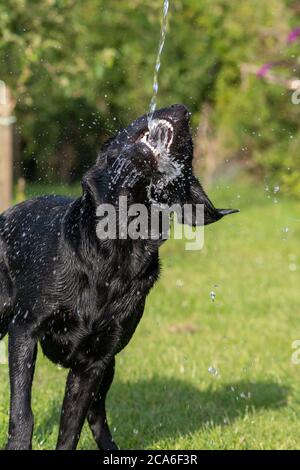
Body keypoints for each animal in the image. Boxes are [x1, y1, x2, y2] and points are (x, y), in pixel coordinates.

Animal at [0, 104, 237, 450]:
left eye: (188, 158)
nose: (182, 109)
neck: (114, 252)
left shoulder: (93, 363)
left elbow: (70, 429)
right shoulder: (24, 331)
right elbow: (22, 413)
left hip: (108, 368)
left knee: (97, 416)